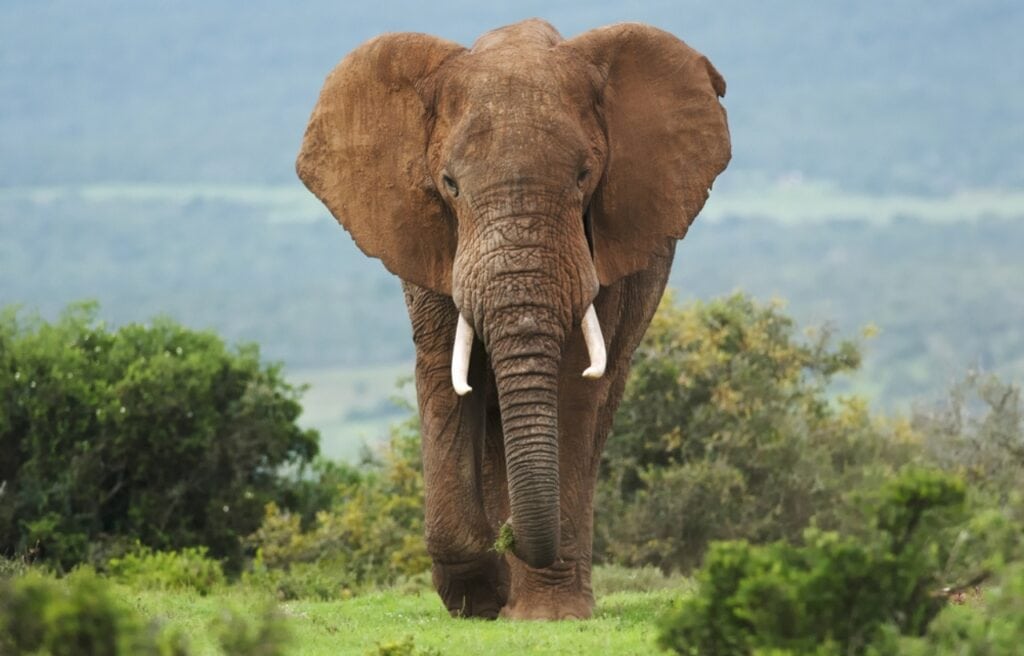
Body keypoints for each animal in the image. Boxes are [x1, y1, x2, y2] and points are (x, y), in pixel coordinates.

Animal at [296, 19, 730, 620]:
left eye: (584, 176)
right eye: (450, 184)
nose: (512, 542)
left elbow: (573, 383)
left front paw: (544, 613)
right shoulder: (431, 239)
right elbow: (445, 371)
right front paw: (480, 598)